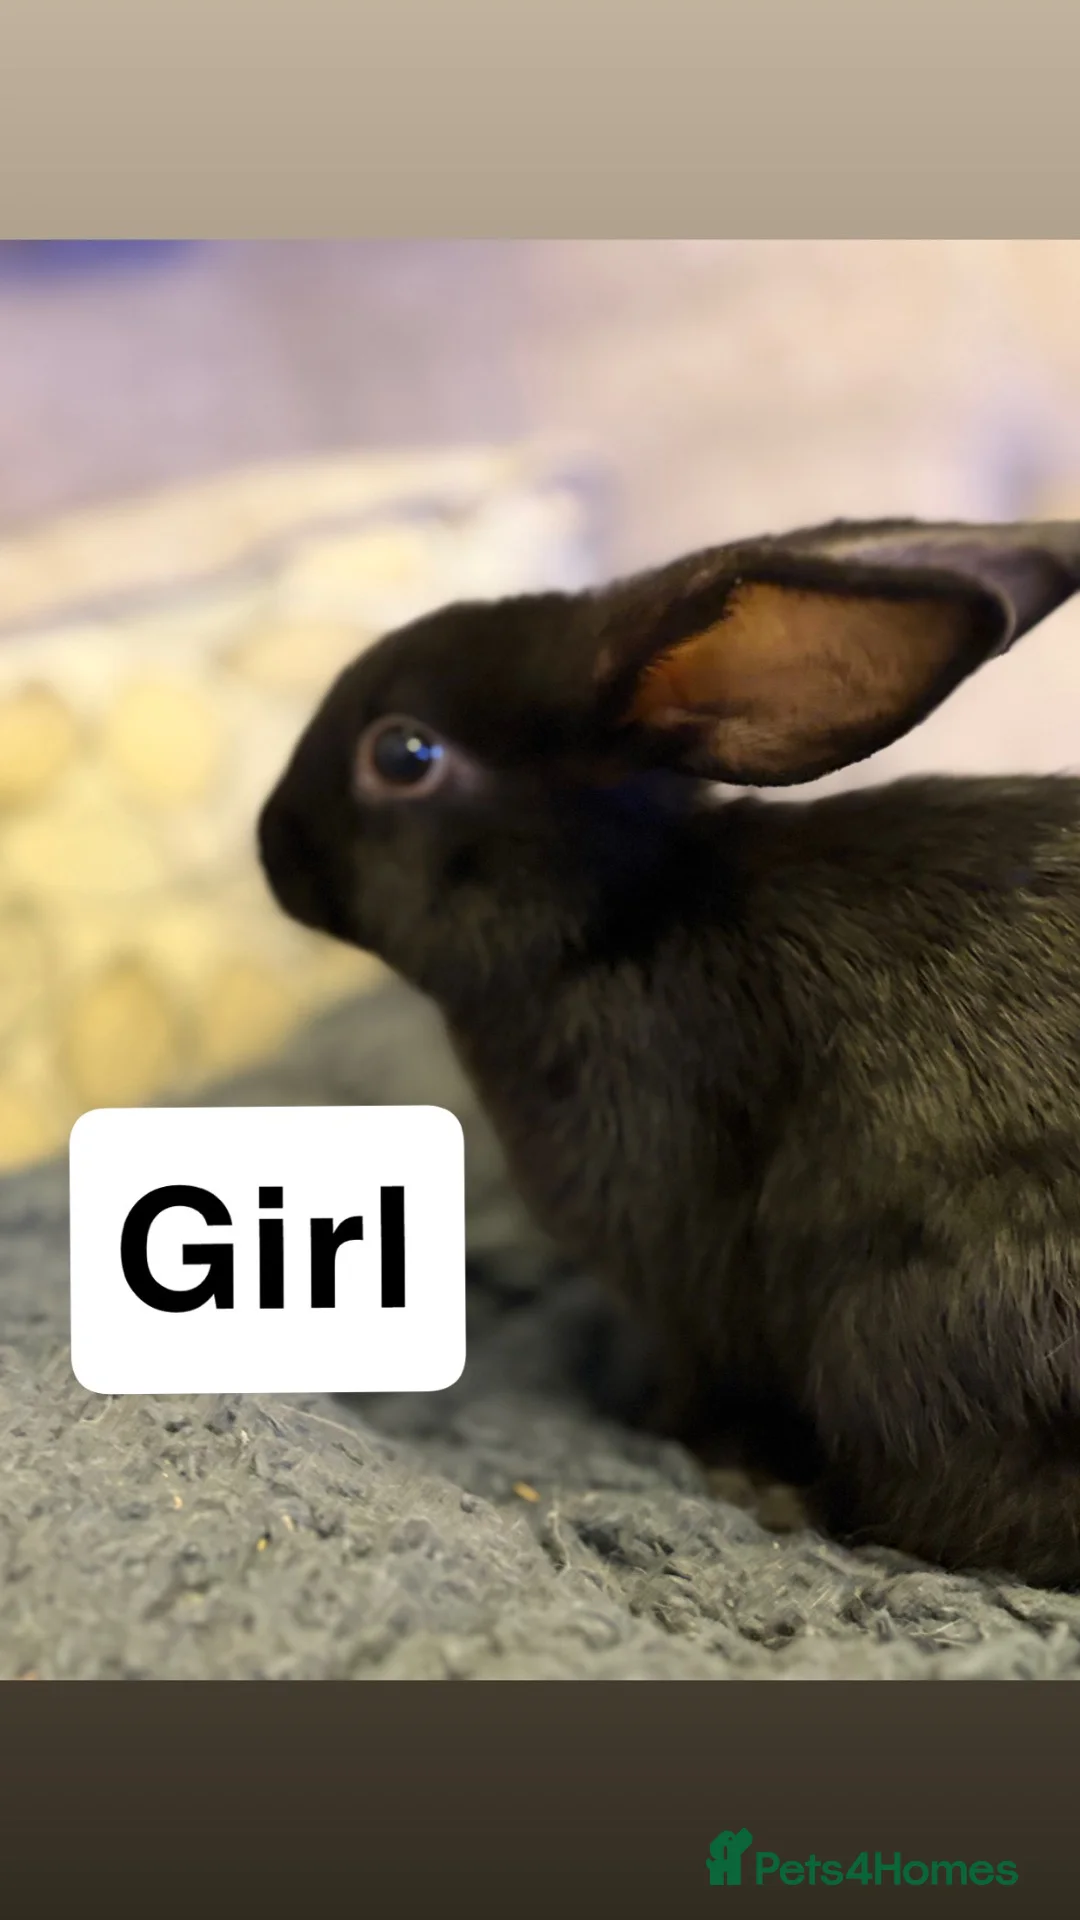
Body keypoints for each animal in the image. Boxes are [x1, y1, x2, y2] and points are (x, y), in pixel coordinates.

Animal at [257, 514, 1080, 1590]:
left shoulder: (682, 1280)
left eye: (403, 753)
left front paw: (661, 1429)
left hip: (909, 1335)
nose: (267, 843)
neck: (613, 921)